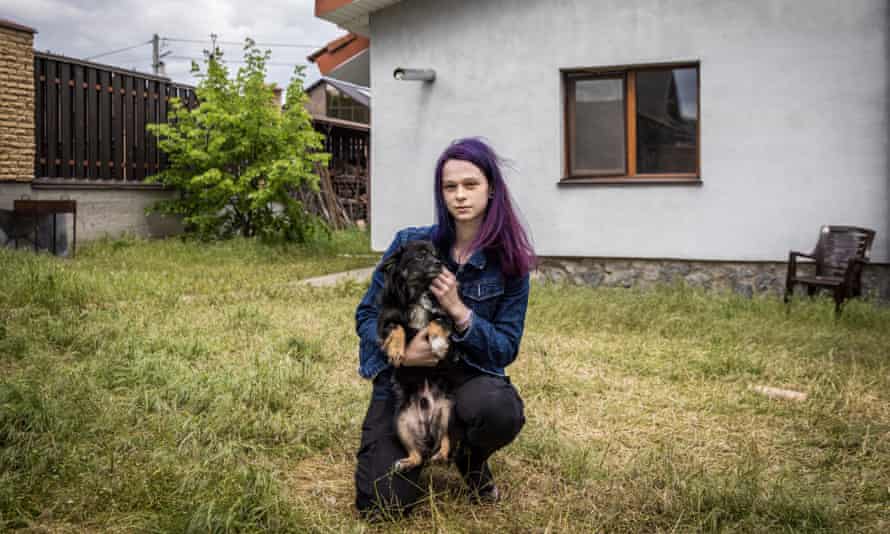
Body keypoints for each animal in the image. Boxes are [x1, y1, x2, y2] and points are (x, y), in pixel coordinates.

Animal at [376, 242, 458, 474]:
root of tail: (427, 422)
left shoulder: (447, 317)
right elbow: (397, 327)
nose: (440, 263)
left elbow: (435, 322)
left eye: (435, 254)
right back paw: (405, 463)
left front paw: (438, 344)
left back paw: (439, 456)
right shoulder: (385, 321)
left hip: (448, 415)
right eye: (420, 256)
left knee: (445, 442)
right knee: (418, 455)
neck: (418, 292)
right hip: (401, 423)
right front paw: (395, 350)